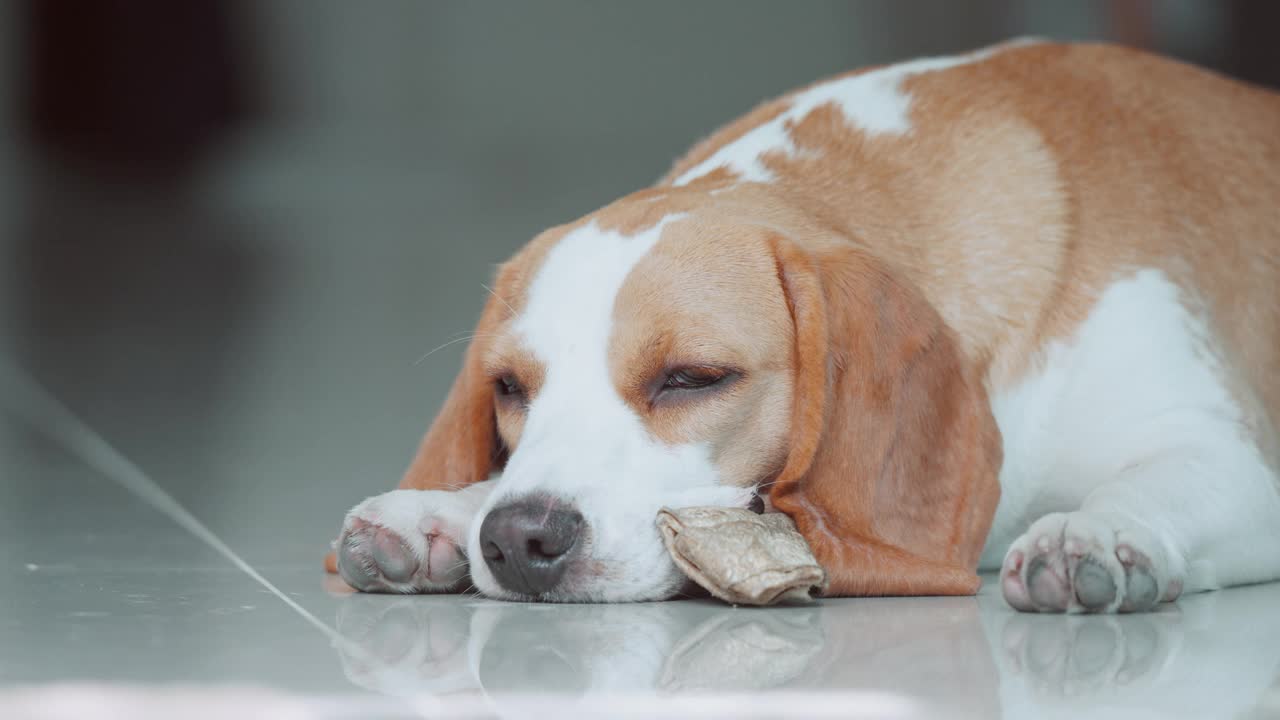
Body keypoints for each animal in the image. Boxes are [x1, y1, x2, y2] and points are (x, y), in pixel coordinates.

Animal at [330, 40, 1280, 609]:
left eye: (693, 378)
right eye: (509, 387)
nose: (518, 538)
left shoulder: (1232, 460)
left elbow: (1152, 483)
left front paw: (1099, 531)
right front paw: (443, 512)